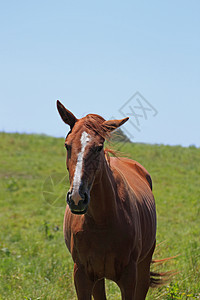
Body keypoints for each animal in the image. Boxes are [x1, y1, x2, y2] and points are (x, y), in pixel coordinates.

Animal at [56, 99, 158, 298]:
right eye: (67, 145)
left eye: (99, 147)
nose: (77, 197)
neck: (102, 222)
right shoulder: (82, 275)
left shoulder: (129, 277)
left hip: (143, 267)